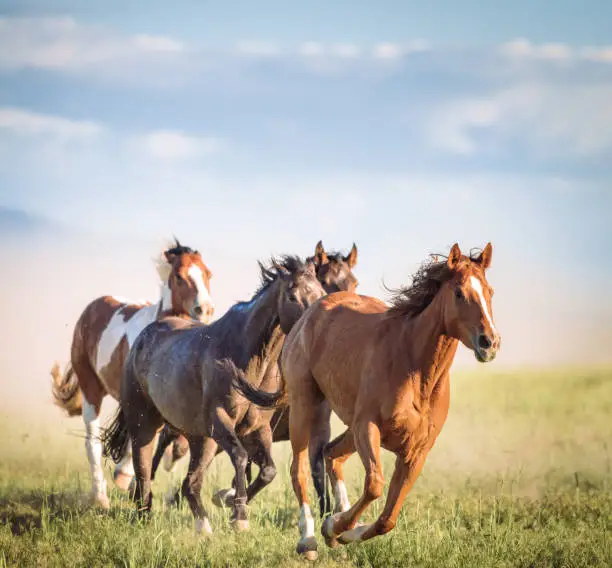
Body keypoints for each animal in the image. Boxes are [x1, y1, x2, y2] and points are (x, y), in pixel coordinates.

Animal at [49, 240, 215, 510]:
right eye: (179, 276)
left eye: (208, 274)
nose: (206, 309)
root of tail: (93, 307)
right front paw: (126, 477)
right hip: (91, 388)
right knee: (93, 442)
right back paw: (101, 496)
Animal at [103, 255, 328, 536]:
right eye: (292, 295)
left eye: (322, 292)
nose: (316, 329)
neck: (246, 358)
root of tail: (142, 339)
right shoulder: (220, 421)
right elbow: (241, 457)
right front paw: (239, 515)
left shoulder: (258, 428)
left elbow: (268, 471)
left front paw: (231, 503)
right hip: (146, 424)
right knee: (144, 470)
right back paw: (144, 515)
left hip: (200, 439)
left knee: (190, 483)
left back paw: (203, 525)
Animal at [153, 240, 360, 520]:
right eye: (326, 282)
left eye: (354, 283)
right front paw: (231, 501)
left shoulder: (313, 424)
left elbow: (311, 466)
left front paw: (328, 512)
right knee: (165, 442)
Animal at [232, 243, 500, 560]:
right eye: (459, 292)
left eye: (489, 291)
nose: (489, 342)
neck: (414, 370)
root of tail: (308, 316)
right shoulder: (367, 428)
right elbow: (374, 486)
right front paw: (333, 527)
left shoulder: (416, 451)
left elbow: (388, 519)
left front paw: (341, 530)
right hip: (305, 406)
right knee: (300, 468)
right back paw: (308, 539)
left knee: (331, 453)